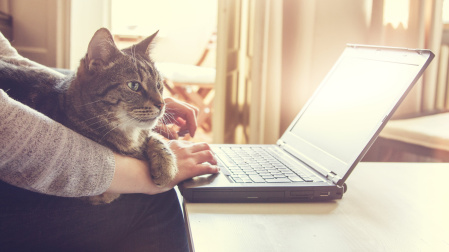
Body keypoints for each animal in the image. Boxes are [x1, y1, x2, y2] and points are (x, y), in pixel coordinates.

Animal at [0, 27, 178, 205]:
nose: (162, 104)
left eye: (159, 85)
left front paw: (166, 165)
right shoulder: (97, 193)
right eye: (134, 86)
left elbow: (154, 137)